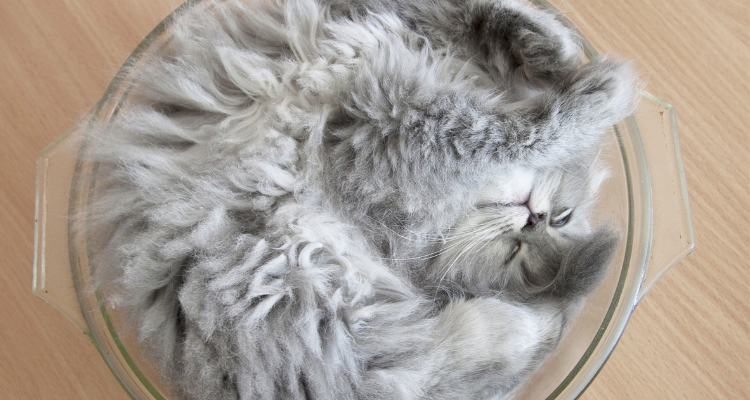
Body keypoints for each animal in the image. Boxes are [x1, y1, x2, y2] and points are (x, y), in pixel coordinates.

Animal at [86, 0, 640, 398]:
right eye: (560, 219)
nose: (535, 217)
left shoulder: (391, 123)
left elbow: (507, 125)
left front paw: (588, 84)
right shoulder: (389, 66)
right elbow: (488, 31)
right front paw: (570, 62)